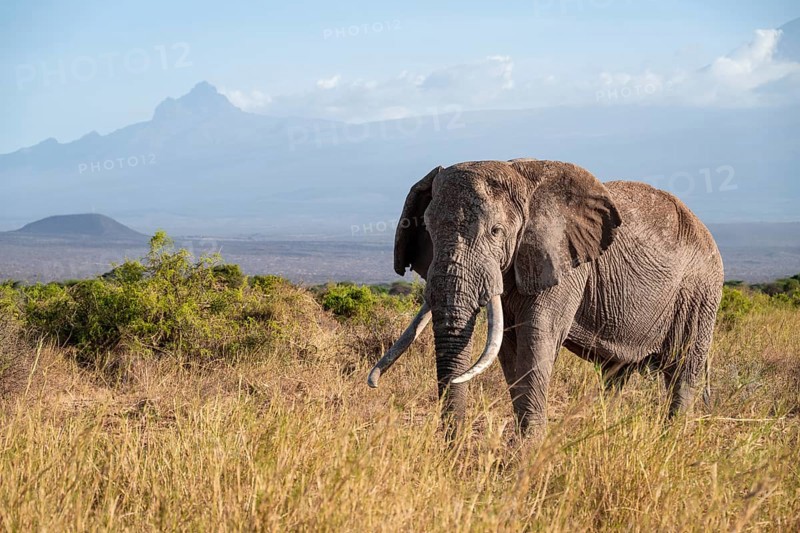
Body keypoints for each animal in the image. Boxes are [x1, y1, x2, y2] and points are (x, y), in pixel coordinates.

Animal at [368, 159, 724, 437]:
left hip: (700, 292)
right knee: (616, 374)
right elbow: (510, 349)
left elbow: (537, 339)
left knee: (683, 372)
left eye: (496, 232)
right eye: (427, 229)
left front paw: (529, 451)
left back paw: (671, 439)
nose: (452, 451)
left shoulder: (564, 262)